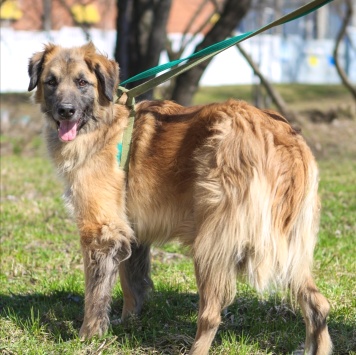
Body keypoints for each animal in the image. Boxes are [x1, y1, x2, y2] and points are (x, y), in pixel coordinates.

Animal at [27, 44, 330, 355]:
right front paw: (129, 322)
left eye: (82, 82)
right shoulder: (132, 231)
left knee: (211, 315)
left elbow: (95, 293)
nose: (65, 111)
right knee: (318, 305)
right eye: (51, 82)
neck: (105, 120)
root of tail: (285, 140)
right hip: (290, 249)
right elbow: (131, 282)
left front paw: (88, 335)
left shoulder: (101, 231)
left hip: (212, 246)